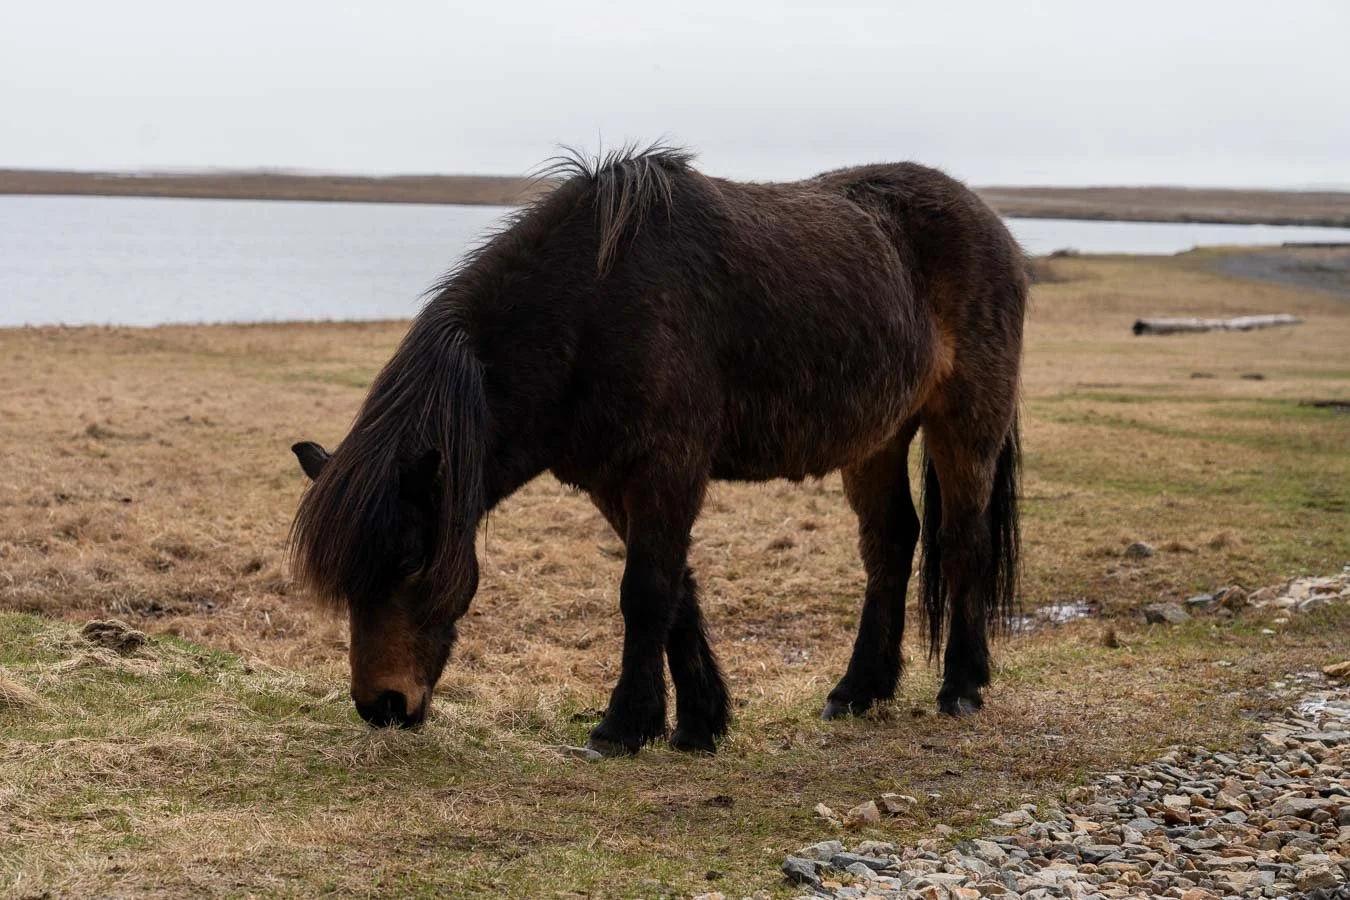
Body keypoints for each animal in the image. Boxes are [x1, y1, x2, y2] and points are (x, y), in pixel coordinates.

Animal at [289, 145, 1026, 757]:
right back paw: (856, 691)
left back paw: (961, 687)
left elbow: (645, 593)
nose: (383, 706)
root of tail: (990, 223)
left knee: (961, 542)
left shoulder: (667, 469)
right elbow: (677, 592)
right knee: (891, 544)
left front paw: (621, 728)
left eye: (414, 559)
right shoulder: (615, 481)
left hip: (965, 423)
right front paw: (699, 723)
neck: (590, 309)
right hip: (878, 436)